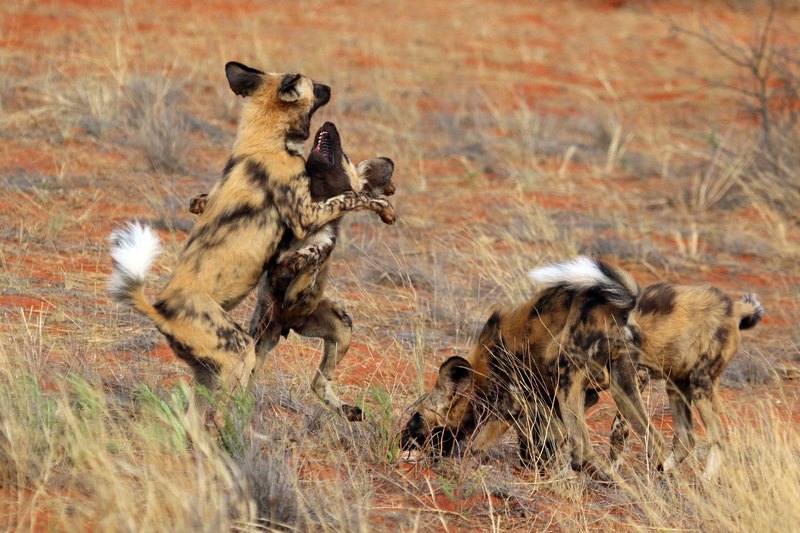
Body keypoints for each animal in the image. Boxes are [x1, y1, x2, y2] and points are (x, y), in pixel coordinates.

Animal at [191, 121, 396, 420]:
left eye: (344, 156)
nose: (329, 122)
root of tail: (286, 326)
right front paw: (204, 200)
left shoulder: (297, 293)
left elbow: (315, 254)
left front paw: (302, 256)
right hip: (260, 339)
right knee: (254, 380)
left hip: (340, 327)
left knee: (319, 382)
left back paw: (346, 410)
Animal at [400, 256, 668, 480]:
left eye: (417, 417)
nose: (400, 441)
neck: (479, 374)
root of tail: (619, 310)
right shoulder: (556, 401)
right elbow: (545, 439)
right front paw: (539, 465)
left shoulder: (512, 405)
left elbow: (476, 447)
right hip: (626, 388)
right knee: (655, 443)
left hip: (568, 381)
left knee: (583, 452)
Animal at [608, 284, 764, 480]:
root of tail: (732, 307)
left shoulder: (635, 375)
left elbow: (618, 431)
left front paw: (611, 475)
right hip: (677, 385)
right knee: (686, 438)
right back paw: (665, 471)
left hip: (699, 383)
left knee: (718, 437)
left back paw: (707, 477)